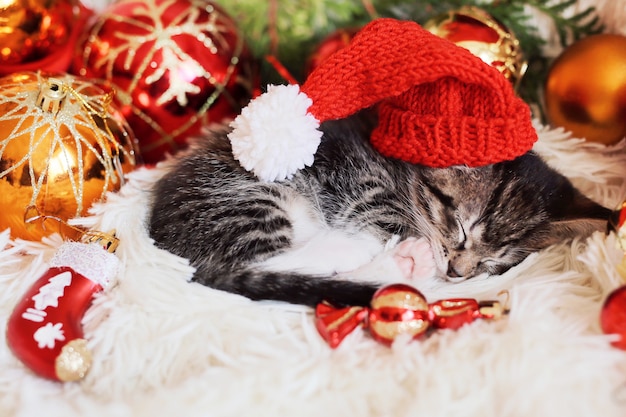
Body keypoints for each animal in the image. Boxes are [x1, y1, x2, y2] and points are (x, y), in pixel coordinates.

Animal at [147, 115, 608, 308]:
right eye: (460, 227)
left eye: (494, 262)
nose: (457, 273)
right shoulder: (358, 178)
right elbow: (379, 215)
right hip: (249, 195)